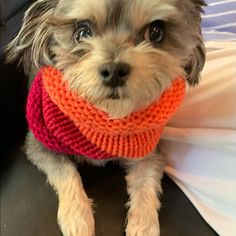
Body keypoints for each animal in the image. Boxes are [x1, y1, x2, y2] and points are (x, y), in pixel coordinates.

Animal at [5, 0, 205, 235]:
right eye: (82, 32)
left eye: (156, 32)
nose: (114, 70)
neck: (106, 118)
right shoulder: (40, 145)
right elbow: (66, 172)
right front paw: (77, 217)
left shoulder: (147, 154)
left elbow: (146, 185)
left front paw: (143, 225)